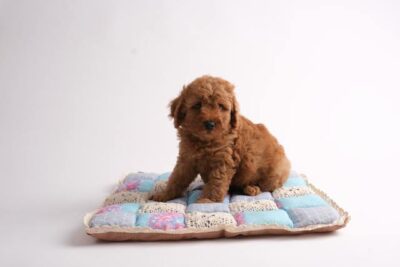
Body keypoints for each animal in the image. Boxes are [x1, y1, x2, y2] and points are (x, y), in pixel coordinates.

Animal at [151, 75, 290, 203]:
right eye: (197, 105)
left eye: (221, 106)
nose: (210, 124)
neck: (205, 142)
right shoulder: (186, 159)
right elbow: (176, 178)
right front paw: (164, 194)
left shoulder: (223, 159)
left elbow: (216, 182)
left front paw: (207, 199)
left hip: (274, 172)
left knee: (268, 187)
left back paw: (252, 188)